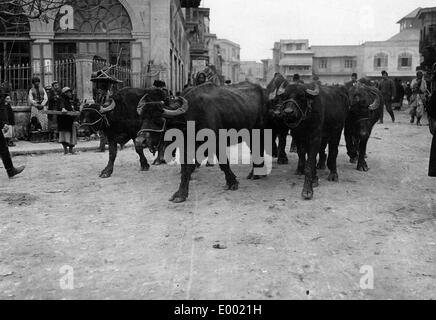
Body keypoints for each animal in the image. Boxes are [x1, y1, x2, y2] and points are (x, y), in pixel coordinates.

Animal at [136, 81, 270, 204]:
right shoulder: (186, 146)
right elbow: (185, 168)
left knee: (258, 149)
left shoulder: (216, 142)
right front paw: (180, 194)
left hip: (260, 130)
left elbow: (223, 163)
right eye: (142, 118)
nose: (140, 141)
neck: (190, 118)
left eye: (159, 120)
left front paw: (232, 182)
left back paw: (256, 173)